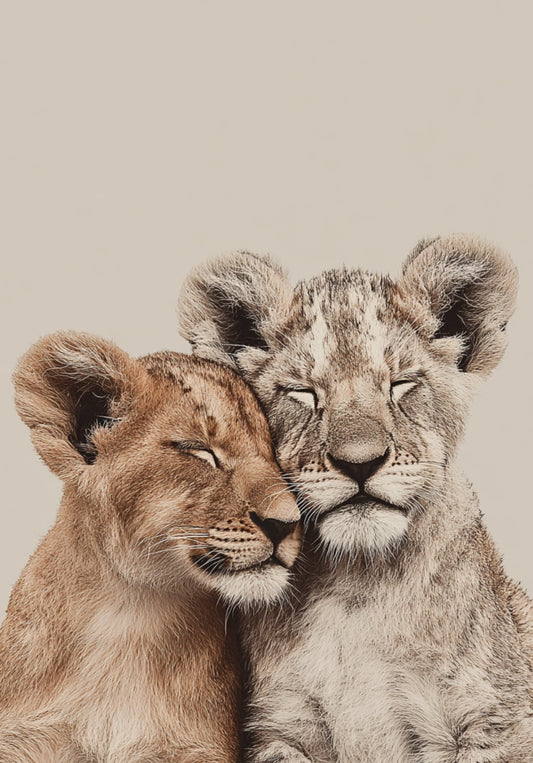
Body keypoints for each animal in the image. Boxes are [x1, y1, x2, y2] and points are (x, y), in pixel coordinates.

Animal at [179, 235, 533, 762]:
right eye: (303, 393)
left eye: (401, 384)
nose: (360, 463)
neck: (356, 585)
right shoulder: (279, 727)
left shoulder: (495, 719)